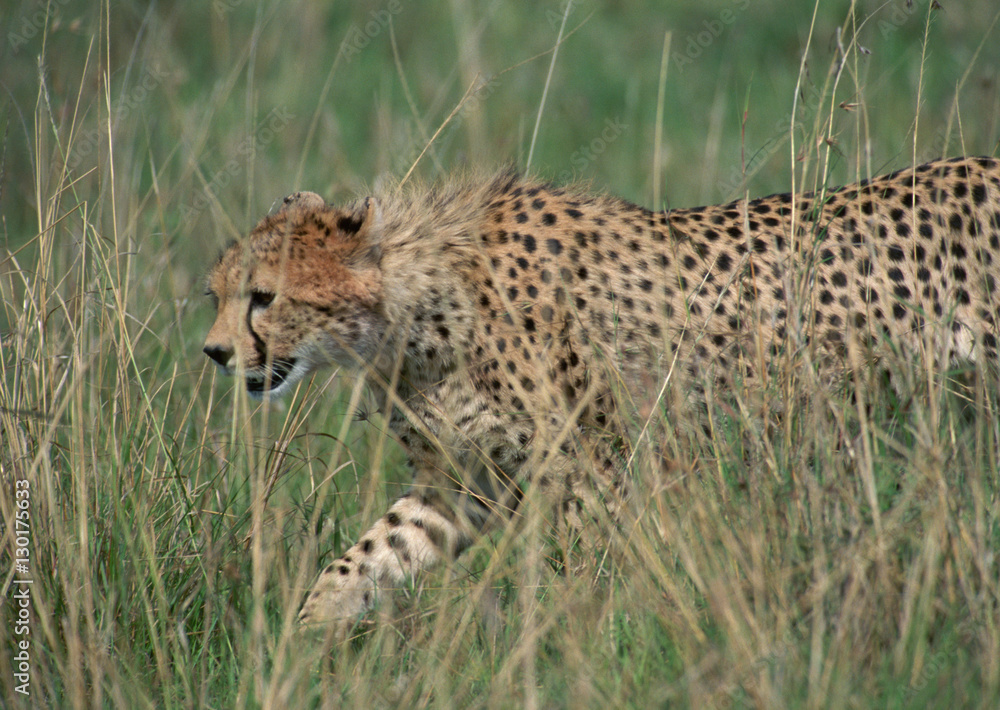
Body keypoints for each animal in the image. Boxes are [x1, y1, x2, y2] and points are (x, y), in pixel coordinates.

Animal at [203, 156, 1000, 638]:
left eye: (263, 297)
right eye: (218, 296)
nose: (214, 352)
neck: (416, 305)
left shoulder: (591, 468)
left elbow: (587, 571)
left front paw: (581, 642)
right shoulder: (463, 482)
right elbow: (368, 555)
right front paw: (305, 632)